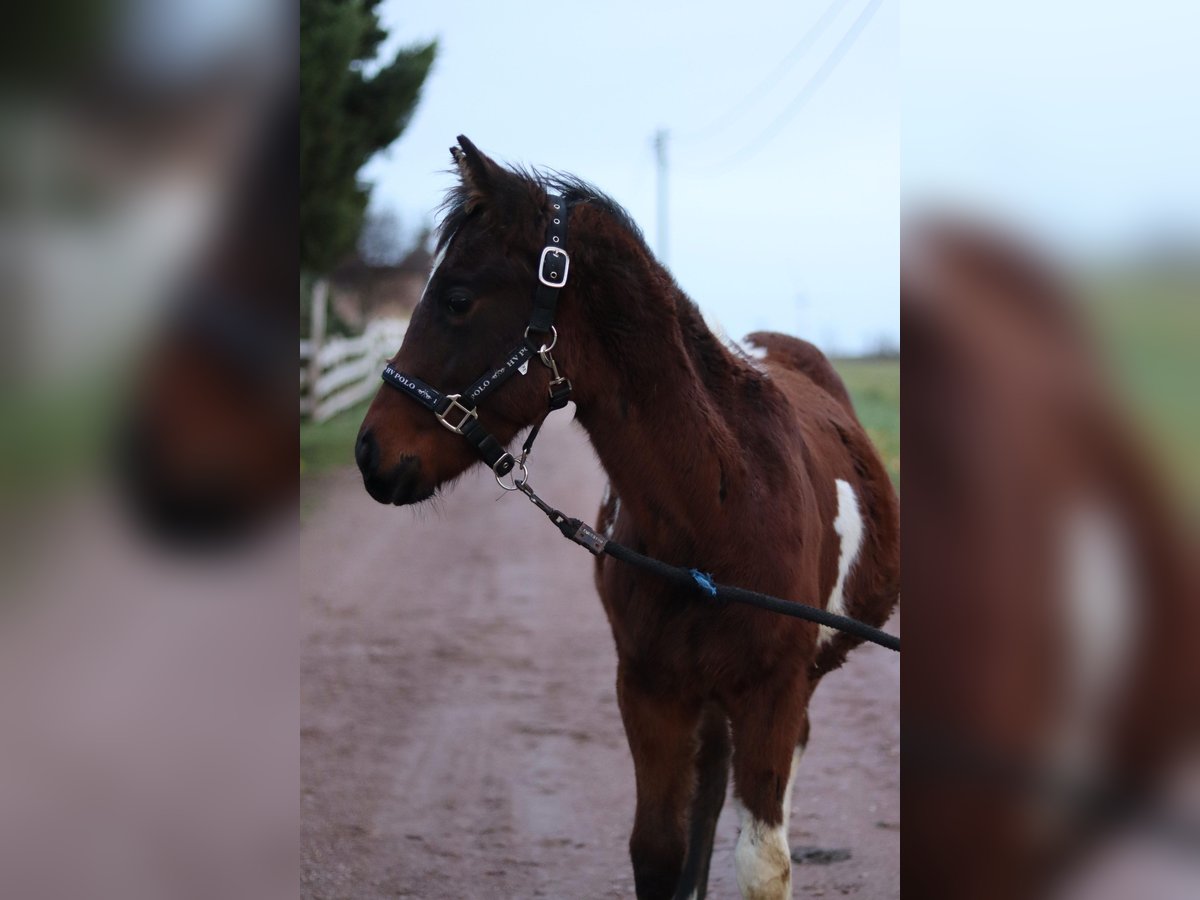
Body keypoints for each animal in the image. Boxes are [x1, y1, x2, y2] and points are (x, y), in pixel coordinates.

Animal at [355, 137, 902, 897]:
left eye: (458, 299)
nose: (369, 451)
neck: (717, 518)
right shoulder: (649, 688)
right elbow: (659, 849)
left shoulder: (773, 692)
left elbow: (762, 861)